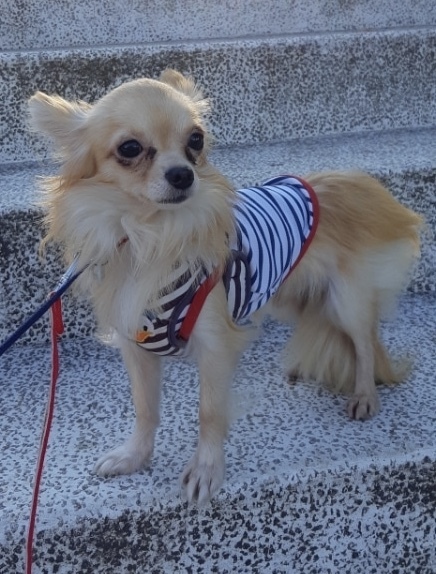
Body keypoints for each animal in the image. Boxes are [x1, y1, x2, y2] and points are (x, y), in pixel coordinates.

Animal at [29, 70, 422, 504]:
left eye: (195, 140)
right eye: (130, 148)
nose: (183, 173)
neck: (151, 235)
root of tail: (358, 183)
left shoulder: (216, 345)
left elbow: (210, 412)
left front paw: (206, 470)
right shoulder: (137, 346)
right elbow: (145, 409)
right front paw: (135, 457)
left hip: (346, 299)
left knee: (364, 343)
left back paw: (365, 394)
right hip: (290, 293)